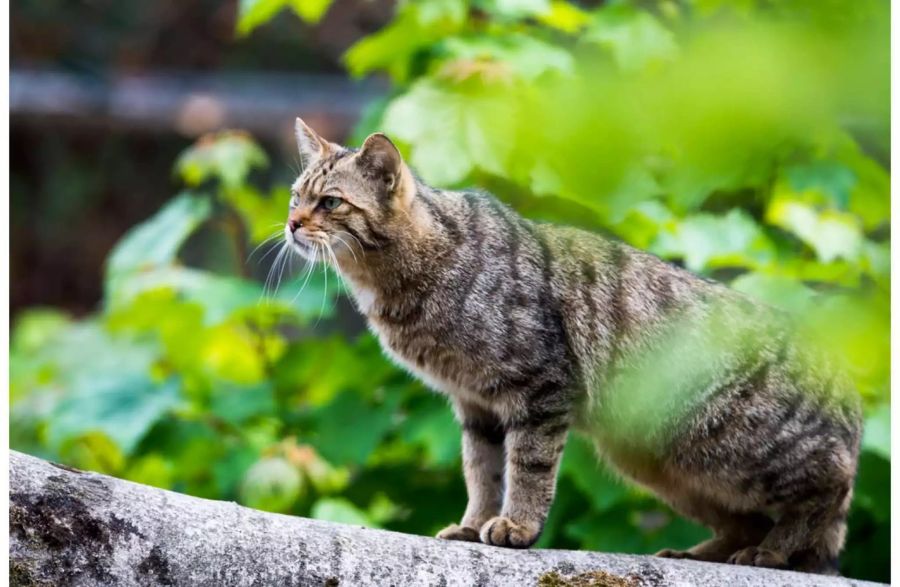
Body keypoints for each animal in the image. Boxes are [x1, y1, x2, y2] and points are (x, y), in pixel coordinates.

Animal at [284, 117, 860, 576]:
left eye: (330, 202)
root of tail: (845, 385)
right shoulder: (474, 404)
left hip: (738, 447)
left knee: (824, 492)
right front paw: (474, 524)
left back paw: (773, 552)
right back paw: (704, 553)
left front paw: (516, 526)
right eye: (295, 196)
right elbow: (481, 472)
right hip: (661, 462)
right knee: (748, 521)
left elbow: (527, 468)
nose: (291, 224)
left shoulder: (540, 389)